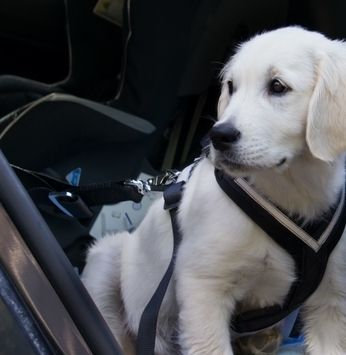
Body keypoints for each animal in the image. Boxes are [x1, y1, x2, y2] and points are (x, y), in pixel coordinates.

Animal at [82, 27, 346, 355]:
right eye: (231, 86)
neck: (291, 188)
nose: (218, 136)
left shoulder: (332, 298)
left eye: (278, 86)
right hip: (107, 258)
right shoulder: (203, 285)